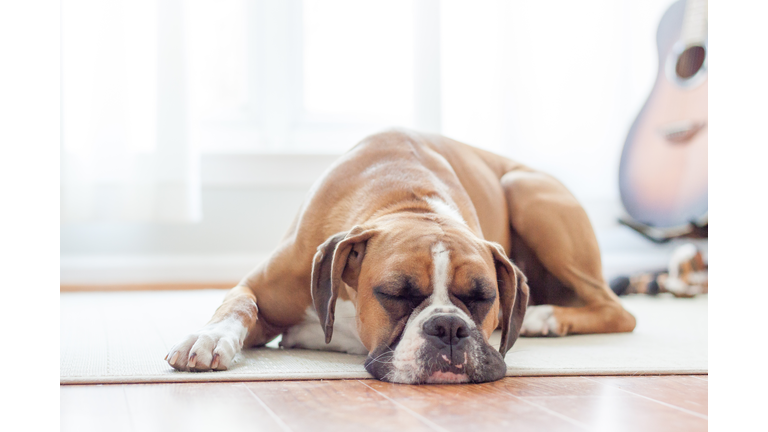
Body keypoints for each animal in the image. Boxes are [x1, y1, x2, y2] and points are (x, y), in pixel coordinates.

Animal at [164, 130, 636, 384]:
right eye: (395, 294)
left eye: (483, 298)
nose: (449, 328)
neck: (409, 201)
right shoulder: (261, 288)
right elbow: (239, 303)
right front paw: (208, 338)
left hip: (525, 190)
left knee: (620, 310)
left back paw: (545, 317)